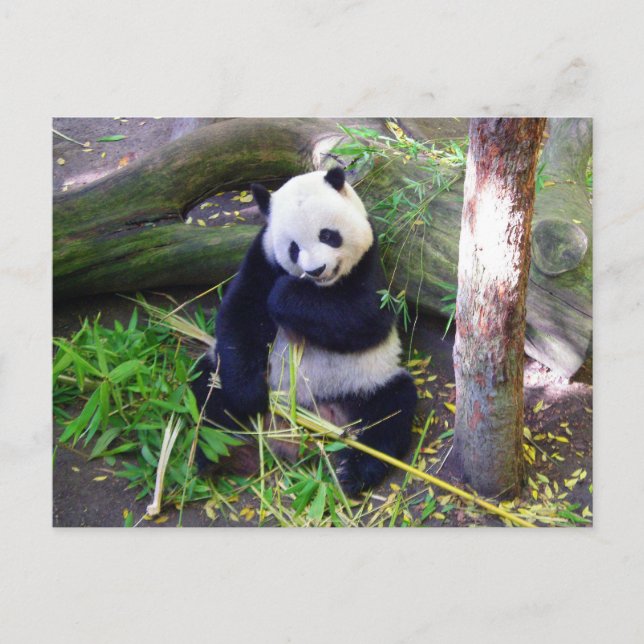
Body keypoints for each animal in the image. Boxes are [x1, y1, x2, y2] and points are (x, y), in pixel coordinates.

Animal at [191, 167, 417, 495]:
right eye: (293, 248)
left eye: (328, 235)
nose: (316, 270)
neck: (321, 288)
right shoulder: (263, 257)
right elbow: (241, 315)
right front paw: (250, 397)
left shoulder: (370, 261)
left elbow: (365, 318)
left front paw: (286, 295)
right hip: (221, 375)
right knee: (210, 393)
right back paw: (222, 455)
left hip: (367, 382)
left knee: (391, 411)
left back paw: (352, 472)